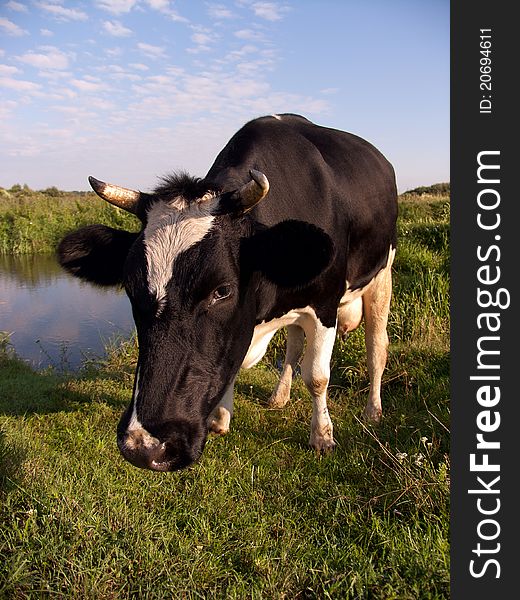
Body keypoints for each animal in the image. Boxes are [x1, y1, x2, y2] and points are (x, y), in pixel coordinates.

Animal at [58, 111, 398, 468]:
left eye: (222, 290)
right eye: (131, 288)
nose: (145, 446)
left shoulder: (324, 303)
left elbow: (317, 376)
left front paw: (322, 436)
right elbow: (237, 362)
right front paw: (221, 418)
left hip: (383, 273)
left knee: (377, 345)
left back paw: (373, 410)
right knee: (293, 343)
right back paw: (280, 396)